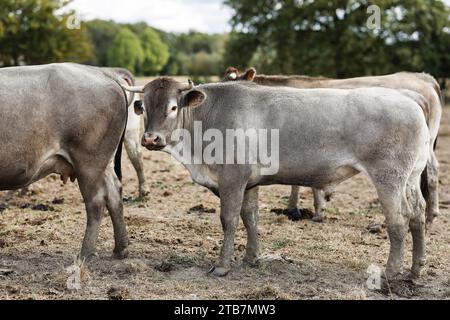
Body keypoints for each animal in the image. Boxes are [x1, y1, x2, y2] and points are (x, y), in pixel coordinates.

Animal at [0, 62, 130, 260]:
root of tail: (101, 71)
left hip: (89, 161)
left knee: (96, 202)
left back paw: (85, 254)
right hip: (104, 162)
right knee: (114, 193)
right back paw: (120, 249)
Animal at [122, 78, 428, 280]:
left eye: (173, 107)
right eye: (143, 106)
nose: (150, 139)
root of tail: (409, 100)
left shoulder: (232, 178)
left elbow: (229, 220)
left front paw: (222, 265)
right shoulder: (249, 183)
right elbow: (250, 218)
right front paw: (251, 258)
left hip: (389, 177)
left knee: (398, 221)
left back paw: (390, 272)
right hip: (411, 178)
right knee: (417, 214)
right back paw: (415, 270)